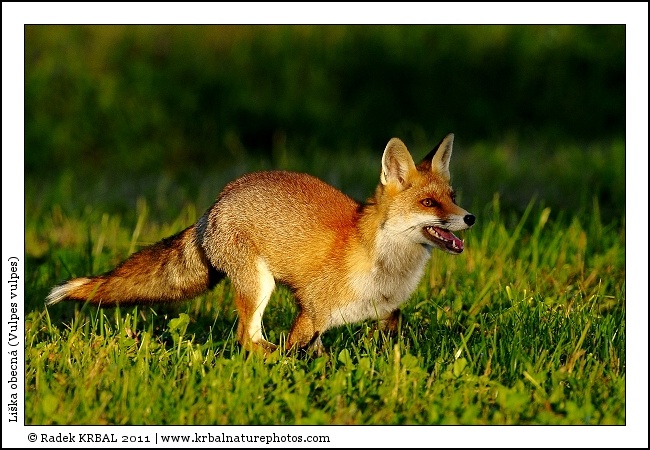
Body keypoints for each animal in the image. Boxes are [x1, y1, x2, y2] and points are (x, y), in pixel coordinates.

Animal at [46, 133, 475, 354]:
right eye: (429, 203)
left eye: (452, 196)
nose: (470, 218)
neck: (385, 265)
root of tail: (215, 203)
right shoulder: (312, 309)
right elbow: (298, 350)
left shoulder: (385, 312)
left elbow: (388, 342)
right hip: (259, 285)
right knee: (248, 338)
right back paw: (269, 360)